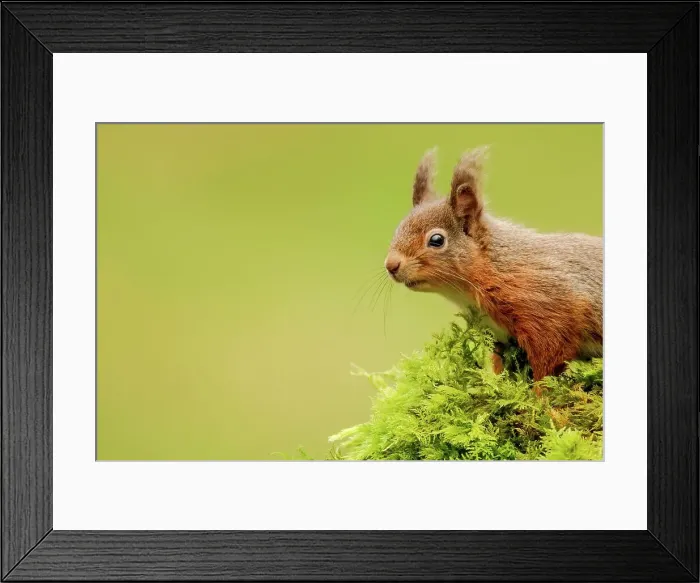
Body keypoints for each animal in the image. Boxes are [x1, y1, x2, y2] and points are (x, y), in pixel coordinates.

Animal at [384, 146, 603, 381]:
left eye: (436, 240)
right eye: (398, 229)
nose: (391, 265)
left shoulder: (550, 310)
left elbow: (548, 364)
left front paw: (539, 390)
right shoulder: (502, 338)